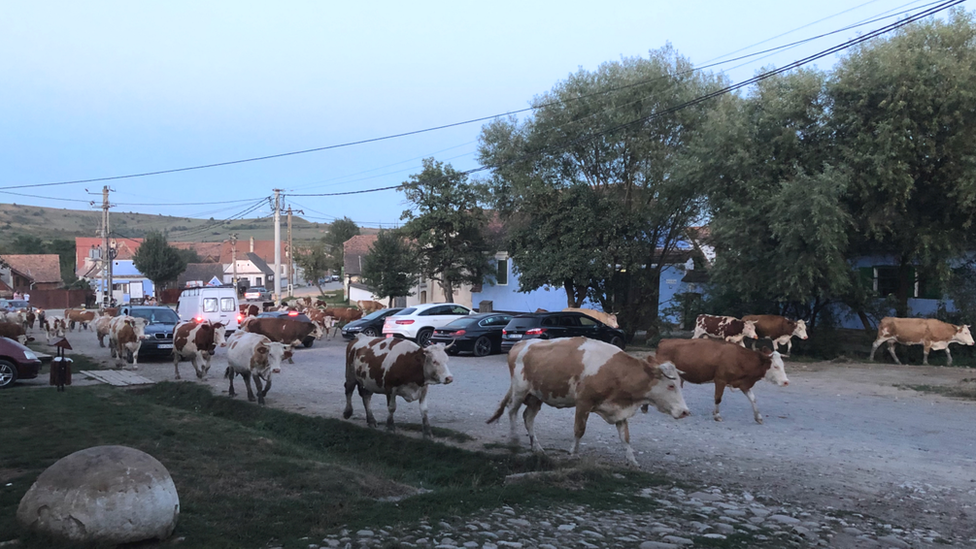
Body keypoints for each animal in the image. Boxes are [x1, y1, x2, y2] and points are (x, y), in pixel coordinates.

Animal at [486, 336, 688, 464]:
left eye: (680, 384)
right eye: (671, 386)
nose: (685, 411)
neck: (616, 372)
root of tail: (521, 343)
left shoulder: (619, 409)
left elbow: (625, 437)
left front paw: (632, 460)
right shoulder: (583, 402)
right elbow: (579, 429)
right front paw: (573, 453)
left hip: (537, 395)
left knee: (528, 418)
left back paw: (537, 448)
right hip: (520, 390)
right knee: (512, 411)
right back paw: (514, 439)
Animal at [652, 338, 788, 424]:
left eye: (783, 365)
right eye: (776, 366)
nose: (786, 382)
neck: (740, 359)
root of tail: (664, 341)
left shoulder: (743, 383)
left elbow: (753, 399)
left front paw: (758, 417)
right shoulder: (720, 380)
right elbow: (718, 398)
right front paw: (717, 415)